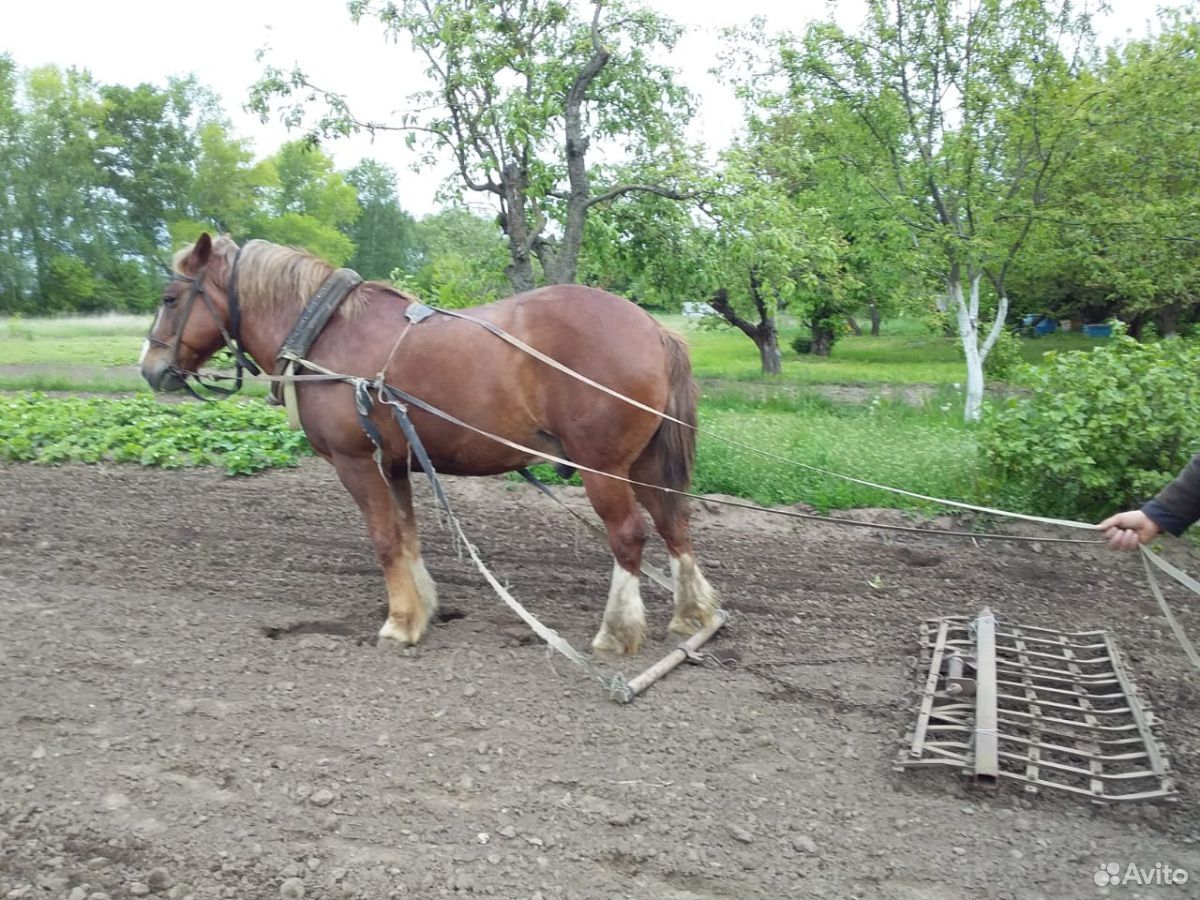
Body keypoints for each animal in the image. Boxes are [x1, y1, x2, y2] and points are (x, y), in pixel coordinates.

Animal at [140, 234, 720, 657]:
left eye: (170, 298)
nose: (150, 368)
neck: (329, 334)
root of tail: (653, 328)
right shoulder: (395, 464)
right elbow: (407, 536)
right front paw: (423, 608)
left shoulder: (356, 464)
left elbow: (384, 541)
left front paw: (399, 623)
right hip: (644, 463)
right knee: (674, 525)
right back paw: (692, 614)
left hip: (603, 468)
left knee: (628, 536)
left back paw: (616, 632)